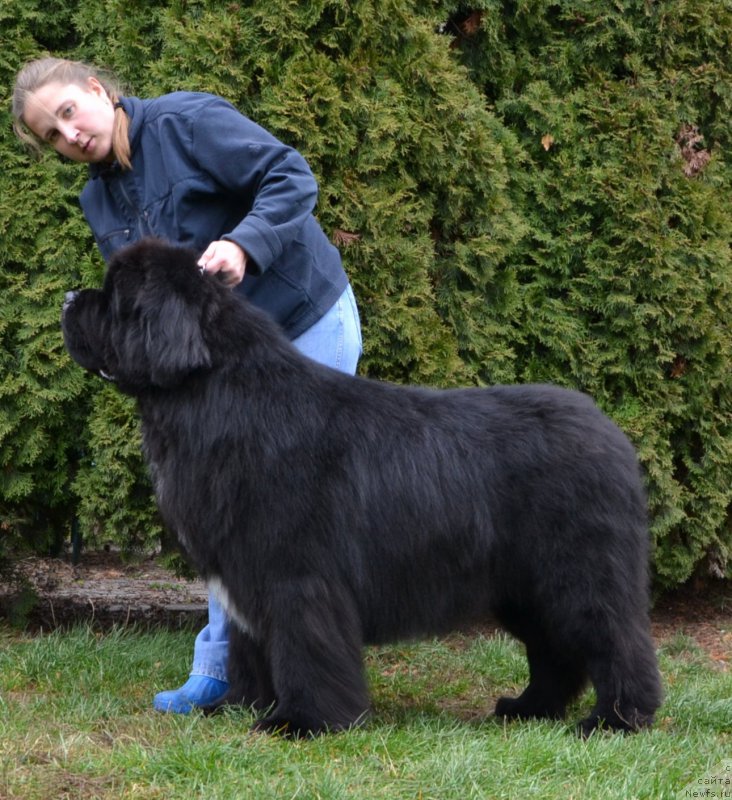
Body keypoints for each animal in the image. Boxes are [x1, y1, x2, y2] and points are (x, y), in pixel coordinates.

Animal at [63, 238, 664, 736]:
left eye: (115, 295)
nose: (69, 296)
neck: (219, 397)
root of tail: (611, 431)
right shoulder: (245, 574)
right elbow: (251, 653)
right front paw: (239, 707)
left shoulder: (297, 577)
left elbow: (302, 652)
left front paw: (300, 723)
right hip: (523, 589)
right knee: (555, 654)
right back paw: (528, 709)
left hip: (577, 573)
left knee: (617, 641)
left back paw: (615, 720)